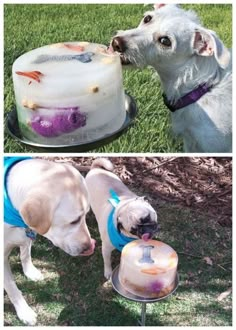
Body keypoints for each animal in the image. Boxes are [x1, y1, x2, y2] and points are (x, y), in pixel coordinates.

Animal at [111, 3, 232, 152]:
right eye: (147, 18)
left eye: (165, 41)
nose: (116, 43)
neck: (200, 89)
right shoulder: (190, 142)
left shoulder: (215, 146)